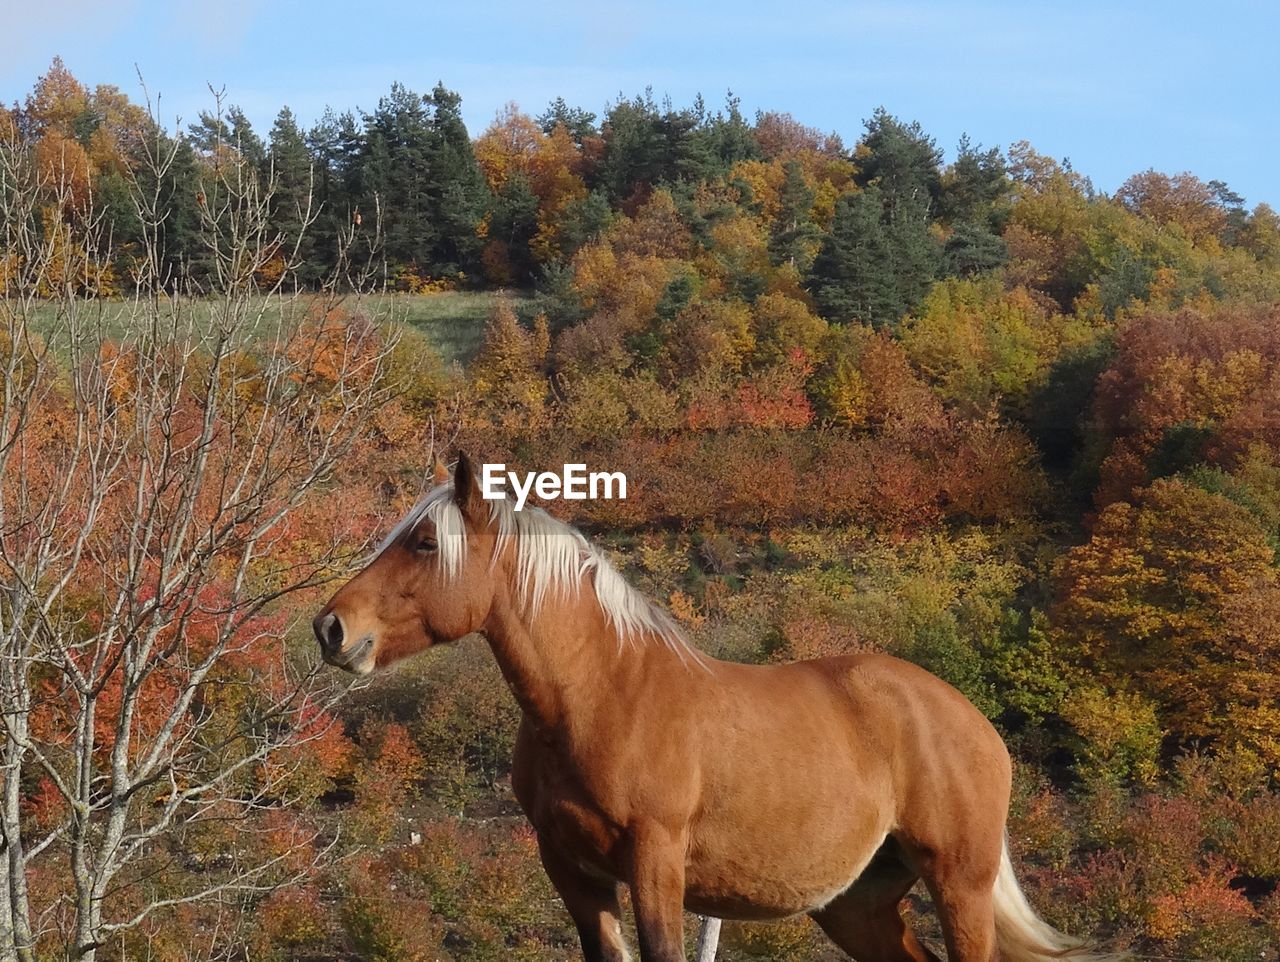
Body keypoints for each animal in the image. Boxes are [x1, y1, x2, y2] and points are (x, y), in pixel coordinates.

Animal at [314, 455, 1126, 961]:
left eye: (424, 542)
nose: (331, 629)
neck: (603, 694)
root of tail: (971, 721)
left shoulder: (656, 863)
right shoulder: (573, 871)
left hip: (961, 883)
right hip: (857, 904)